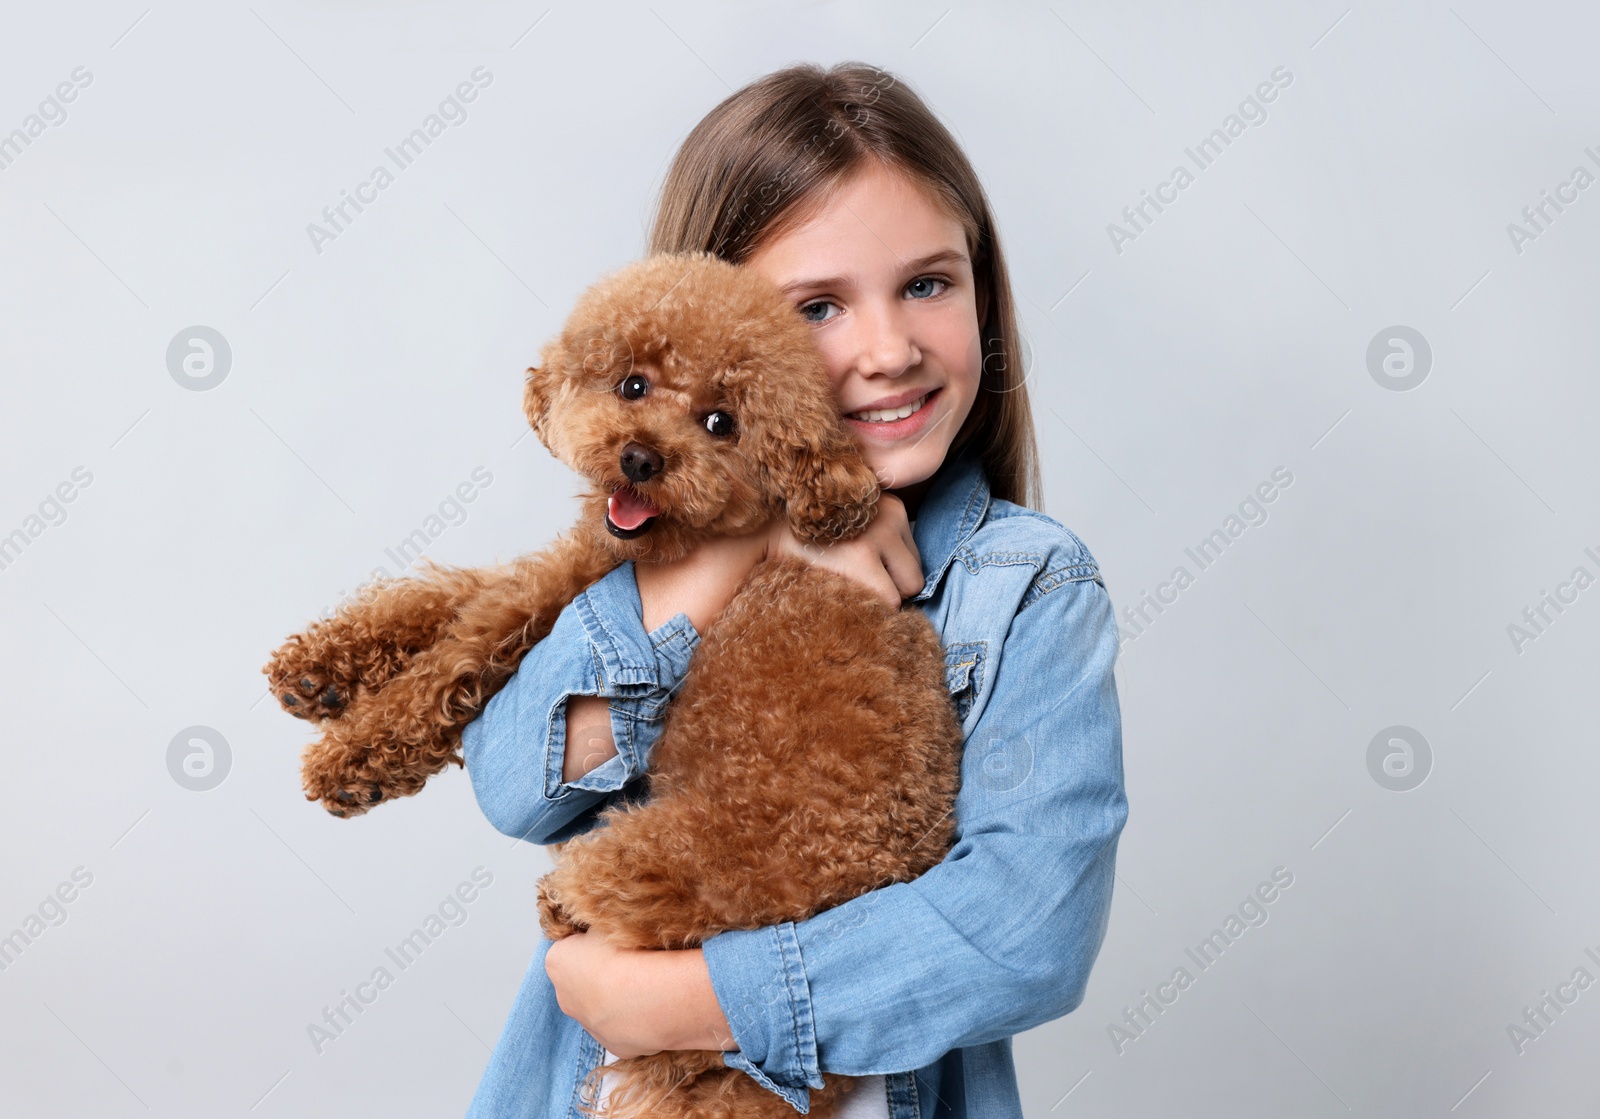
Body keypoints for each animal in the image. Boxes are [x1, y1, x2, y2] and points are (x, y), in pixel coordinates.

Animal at [264, 256, 960, 1119]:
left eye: (720, 422)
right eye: (632, 384)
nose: (640, 458)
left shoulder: (561, 596)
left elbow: (459, 649)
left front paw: (348, 759)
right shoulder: (572, 568)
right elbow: (448, 592)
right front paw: (318, 672)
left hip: (647, 862)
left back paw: (560, 908)